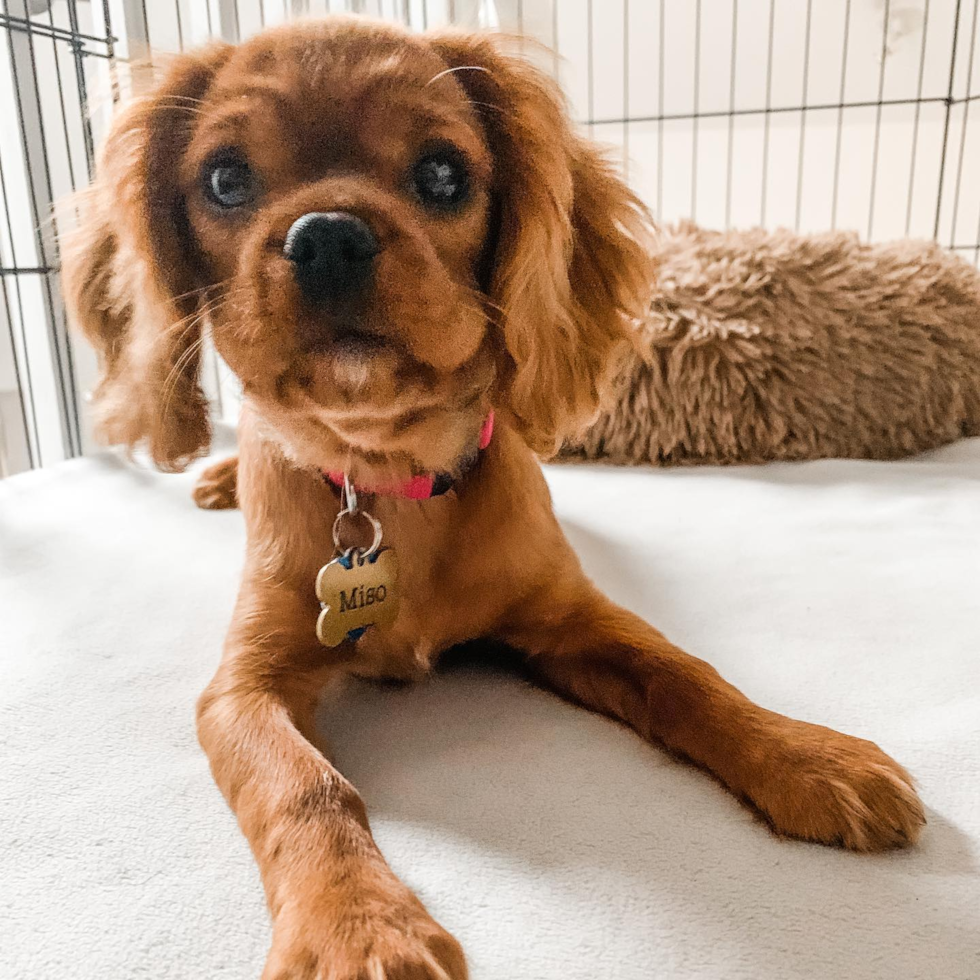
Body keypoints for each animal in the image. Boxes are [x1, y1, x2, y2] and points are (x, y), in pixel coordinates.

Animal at [63, 15, 928, 980]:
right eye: (224, 178)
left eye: (444, 174)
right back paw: (217, 477)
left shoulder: (571, 617)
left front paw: (806, 755)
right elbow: (305, 787)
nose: (326, 236)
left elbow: (686, 675)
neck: (388, 478)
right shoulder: (241, 689)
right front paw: (357, 925)